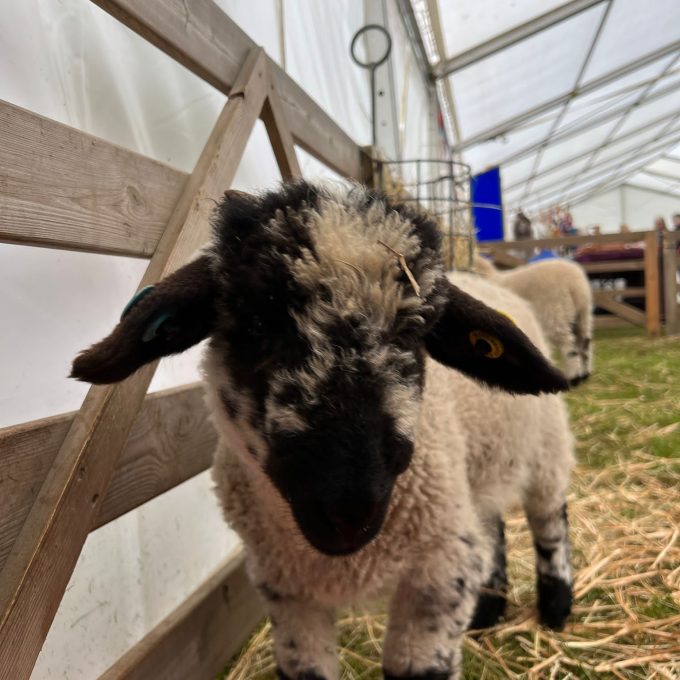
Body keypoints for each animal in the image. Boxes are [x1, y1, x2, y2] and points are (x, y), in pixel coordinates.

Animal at [71, 181, 574, 680]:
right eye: (256, 323)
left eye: (414, 333)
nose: (349, 508)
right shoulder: (286, 593)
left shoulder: (439, 574)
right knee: (491, 521)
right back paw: (488, 611)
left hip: (547, 449)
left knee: (549, 519)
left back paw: (556, 607)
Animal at [474, 255, 593, 385]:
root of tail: (575, 285)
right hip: (582, 315)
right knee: (584, 342)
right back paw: (585, 374)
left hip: (555, 312)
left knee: (568, 345)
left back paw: (573, 378)